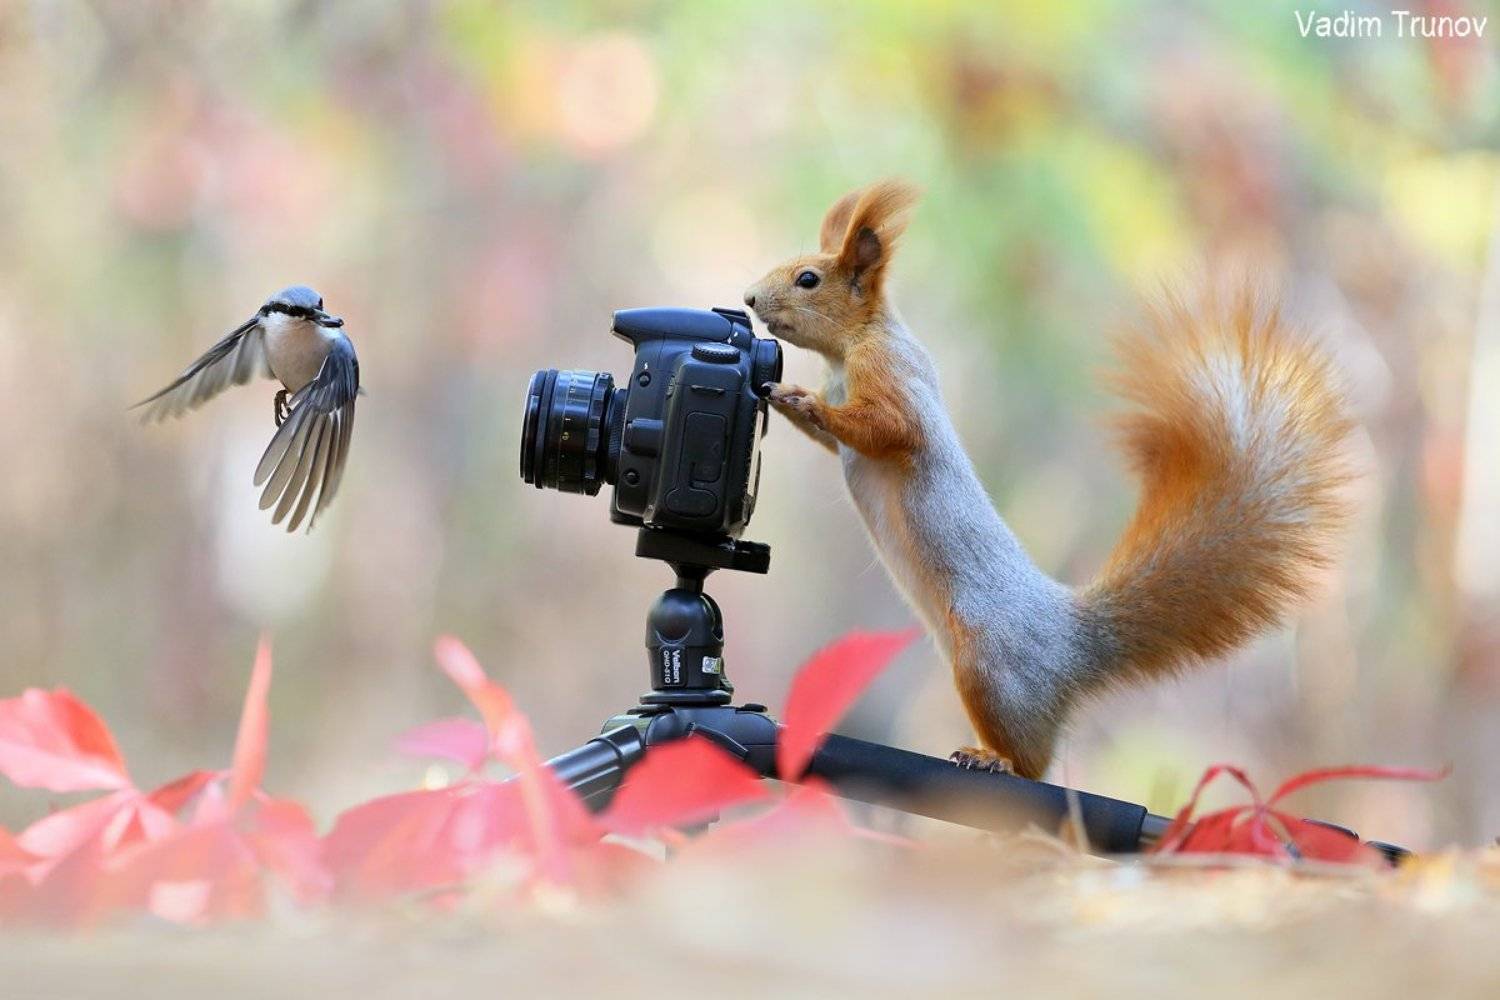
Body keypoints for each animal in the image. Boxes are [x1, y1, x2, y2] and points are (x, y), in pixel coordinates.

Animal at [744, 180, 1352, 780]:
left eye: (808, 279)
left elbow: (892, 429)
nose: (748, 299)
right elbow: (839, 443)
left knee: (1032, 764)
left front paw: (806, 401)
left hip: (988, 667)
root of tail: (1073, 643)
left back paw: (993, 758)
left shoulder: (893, 374)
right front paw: (791, 402)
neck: (849, 352)